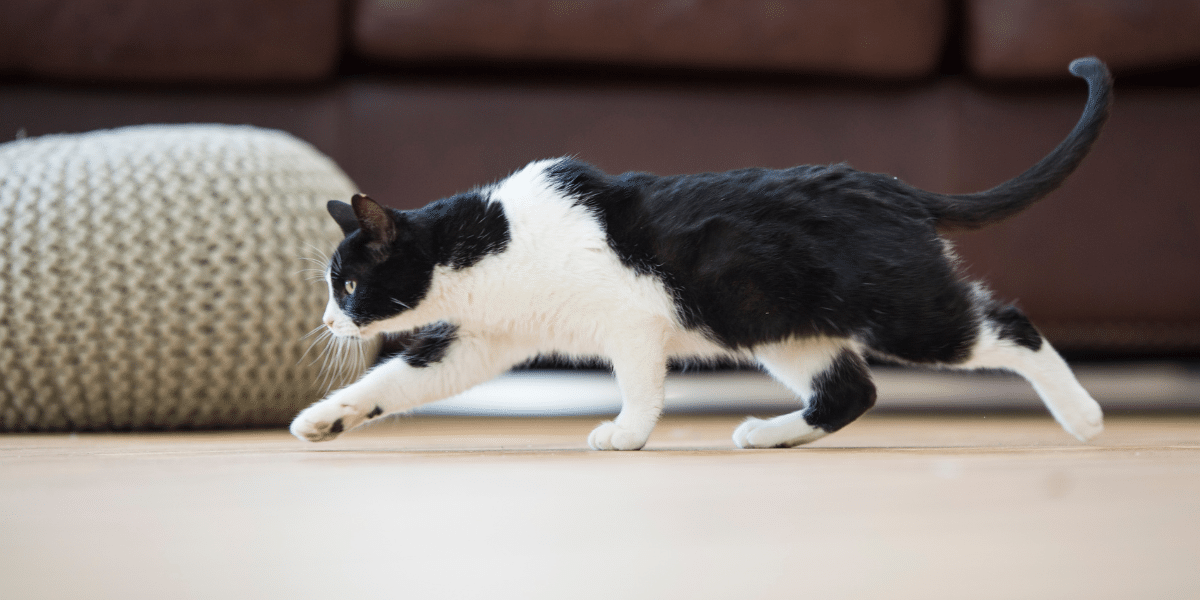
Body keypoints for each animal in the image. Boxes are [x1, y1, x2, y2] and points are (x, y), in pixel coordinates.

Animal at [292, 57, 1113, 451]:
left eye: (348, 284)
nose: (329, 324)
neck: (493, 244)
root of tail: (898, 187)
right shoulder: (481, 340)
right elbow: (397, 381)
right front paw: (325, 419)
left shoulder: (630, 321)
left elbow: (640, 384)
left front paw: (625, 435)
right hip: (778, 325)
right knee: (850, 391)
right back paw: (770, 434)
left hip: (903, 309)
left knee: (1009, 327)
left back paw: (1083, 417)